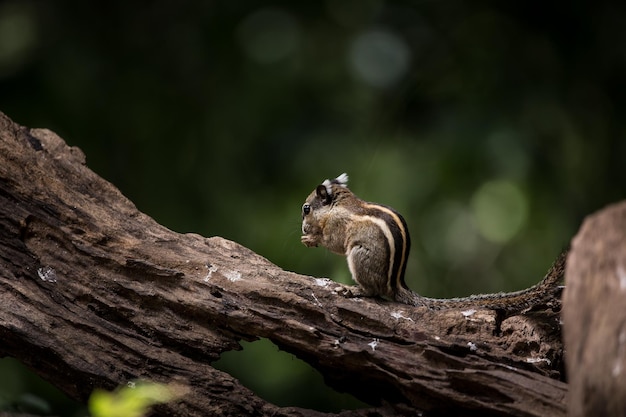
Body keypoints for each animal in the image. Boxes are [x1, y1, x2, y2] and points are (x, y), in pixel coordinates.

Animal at [300, 172, 564, 332]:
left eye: (306, 209)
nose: (302, 227)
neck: (338, 205)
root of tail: (395, 284)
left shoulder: (338, 226)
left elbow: (332, 242)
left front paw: (311, 238)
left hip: (358, 256)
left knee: (373, 292)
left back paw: (353, 289)